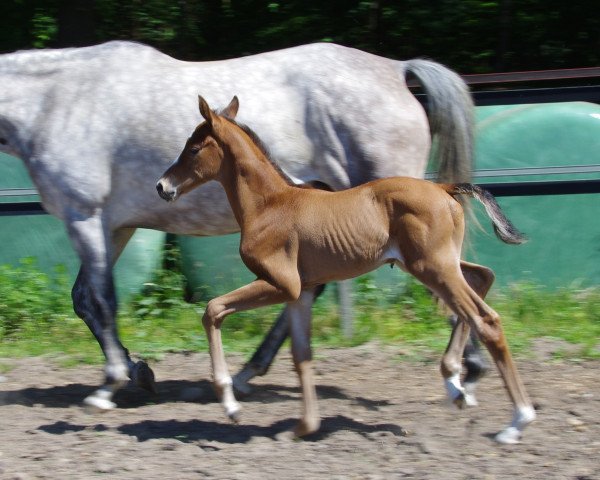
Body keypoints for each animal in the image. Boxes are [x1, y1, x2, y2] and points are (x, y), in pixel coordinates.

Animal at [0, 40, 482, 408]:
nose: (163, 185)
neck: (58, 101)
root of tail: (397, 69)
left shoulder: (84, 217)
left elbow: (100, 301)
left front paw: (109, 384)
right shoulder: (113, 227)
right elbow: (85, 299)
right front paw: (139, 372)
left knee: (446, 284)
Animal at [157, 95, 536, 444]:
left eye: (193, 148)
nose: (162, 186)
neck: (268, 206)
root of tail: (444, 188)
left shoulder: (281, 284)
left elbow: (213, 310)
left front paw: (231, 405)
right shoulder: (302, 292)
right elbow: (301, 355)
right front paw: (303, 428)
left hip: (433, 267)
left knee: (485, 319)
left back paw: (517, 421)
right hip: (438, 264)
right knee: (482, 278)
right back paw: (455, 383)